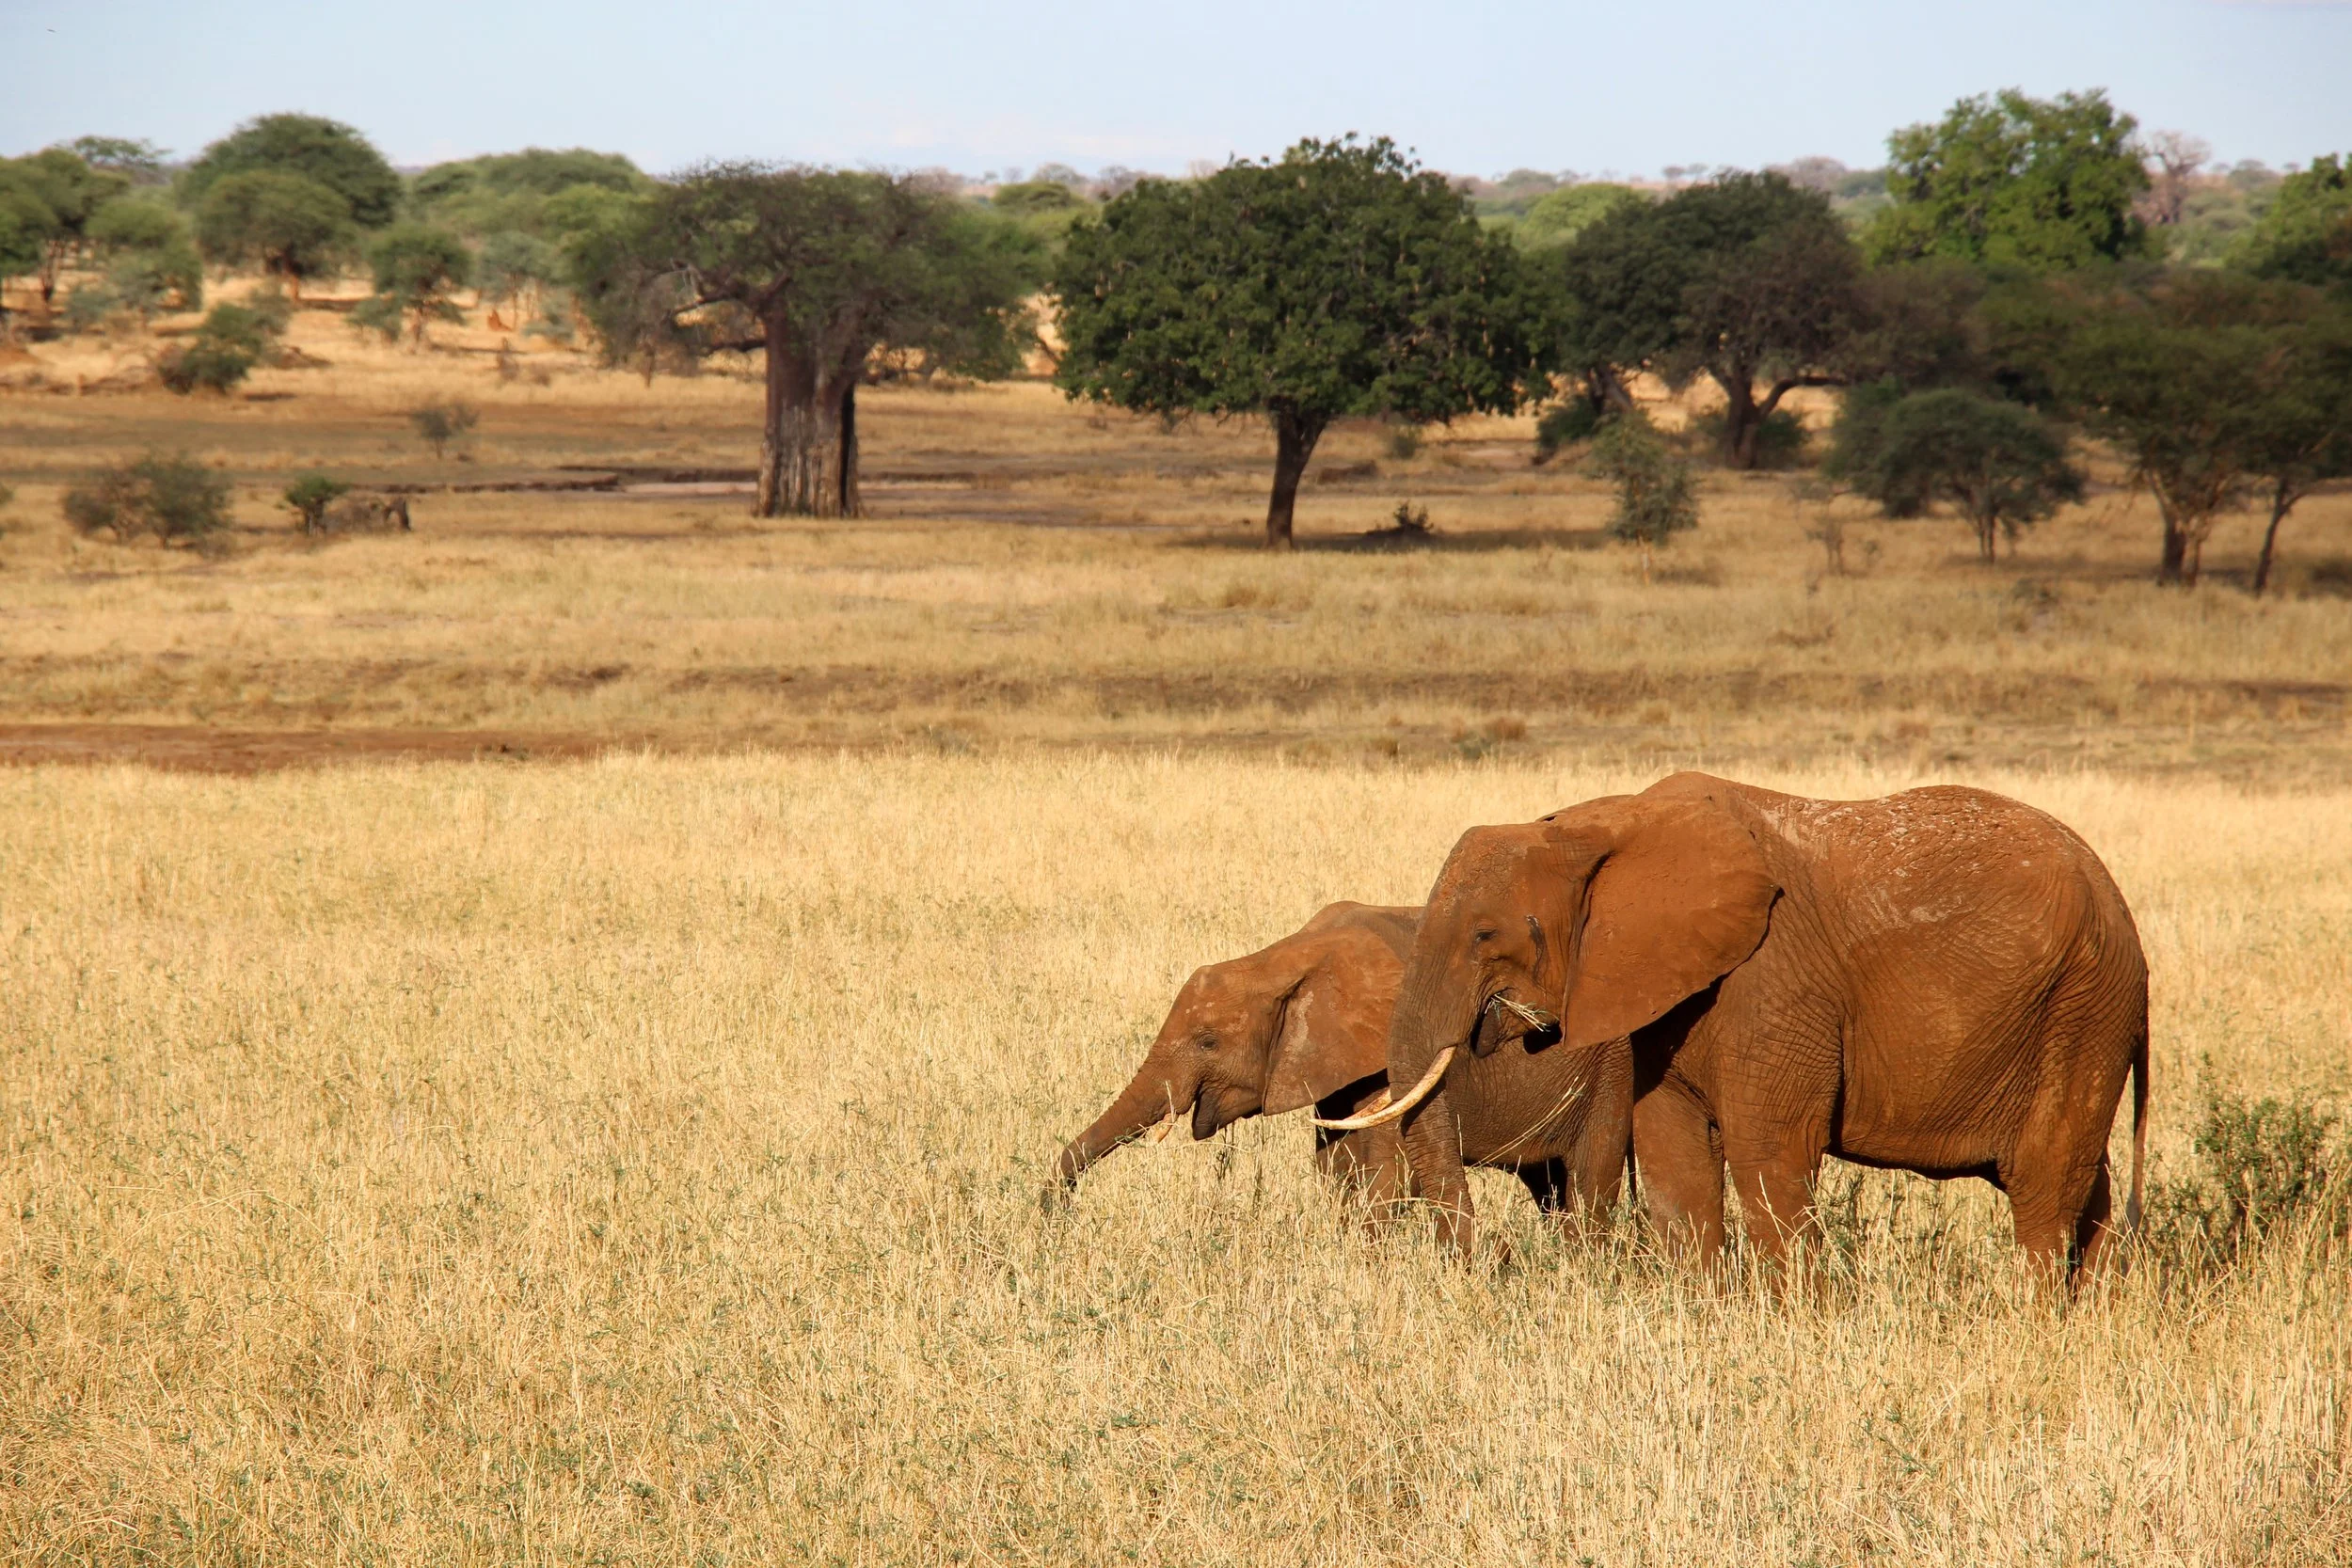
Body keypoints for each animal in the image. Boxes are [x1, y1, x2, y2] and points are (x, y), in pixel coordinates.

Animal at [1364, 772, 2149, 1291]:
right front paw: (1704, 1311)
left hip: (2082, 1005)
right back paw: (2097, 1311)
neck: (1603, 824)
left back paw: (2033, 1319)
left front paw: (1793, 1323)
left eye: (1485, 933)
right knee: (2089, 1181)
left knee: (2045, 1182)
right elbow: (1673, 1156)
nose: (1490, 1262)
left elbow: (1768, 1152)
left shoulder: (1773, 980)